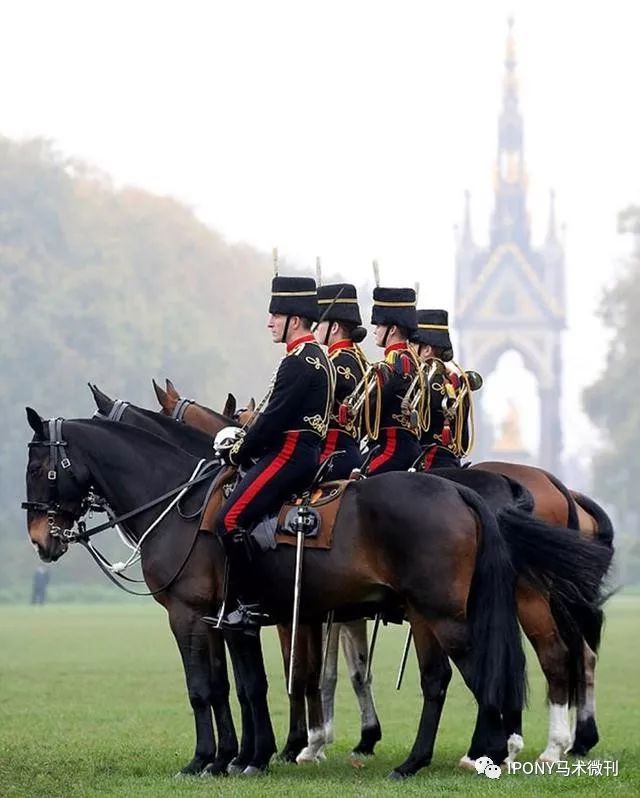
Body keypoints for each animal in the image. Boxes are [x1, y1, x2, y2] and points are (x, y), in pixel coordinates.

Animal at [23, 410, 528, 780]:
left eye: (37, 469)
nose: (40, 541)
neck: (181, 508)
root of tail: (458, 492)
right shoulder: (227, 622)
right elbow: (241, 686)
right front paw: (240, 757)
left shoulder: (189, 615)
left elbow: (205, 688)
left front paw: (208, 759)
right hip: (428, 614)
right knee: (442, 679)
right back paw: (424, 760)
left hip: (443, 614)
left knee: (482, 669)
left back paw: (486, 753)